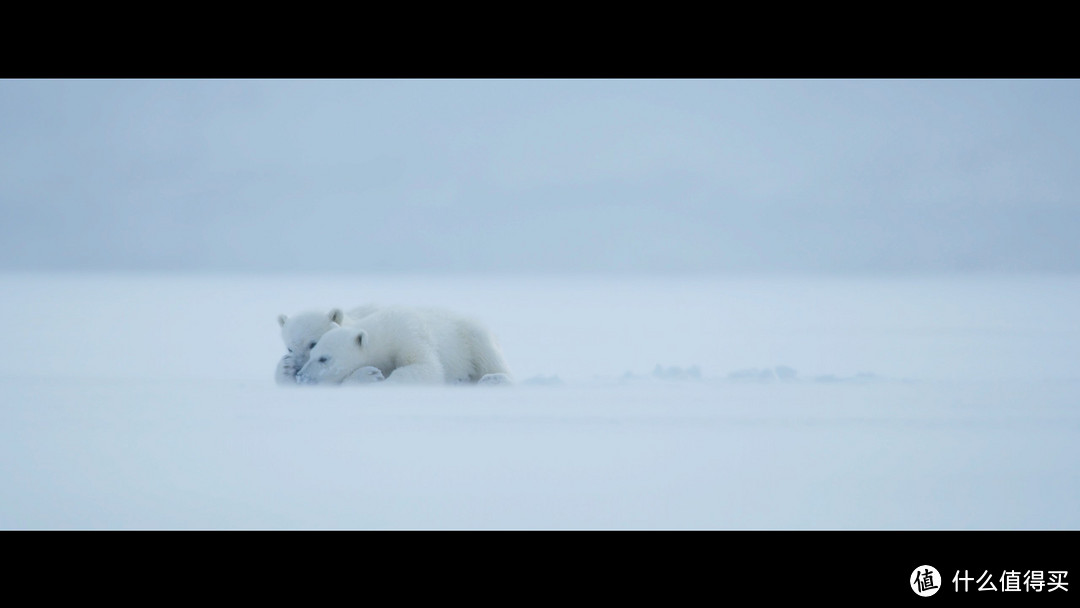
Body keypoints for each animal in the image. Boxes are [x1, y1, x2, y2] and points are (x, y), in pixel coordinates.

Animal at [295, 306, 514, 388]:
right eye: (312, 353)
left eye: (324, 358)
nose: (301, 376)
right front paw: (369, 374)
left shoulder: (409, 335)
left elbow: (426, 367)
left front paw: (380, 379)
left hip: (471, 338)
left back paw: (492, 378)